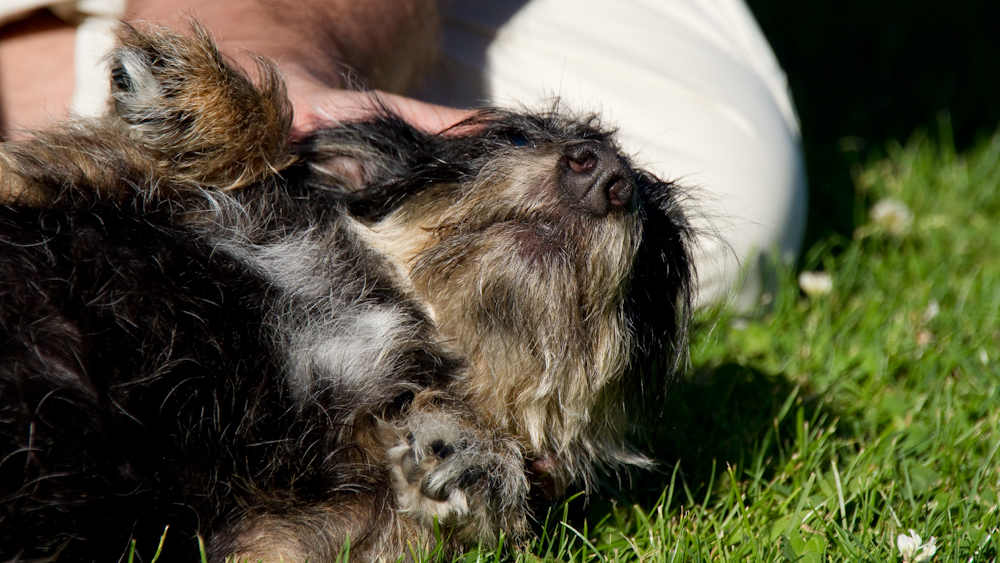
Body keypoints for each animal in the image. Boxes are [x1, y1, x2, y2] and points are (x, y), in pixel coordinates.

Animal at [0, 24, 692, 560]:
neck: (402, 308)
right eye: (516, 137)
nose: (602, 175)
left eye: (657, 254)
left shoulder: (278, 535)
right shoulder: (69, 176)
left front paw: (480, 461)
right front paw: (194, 101)